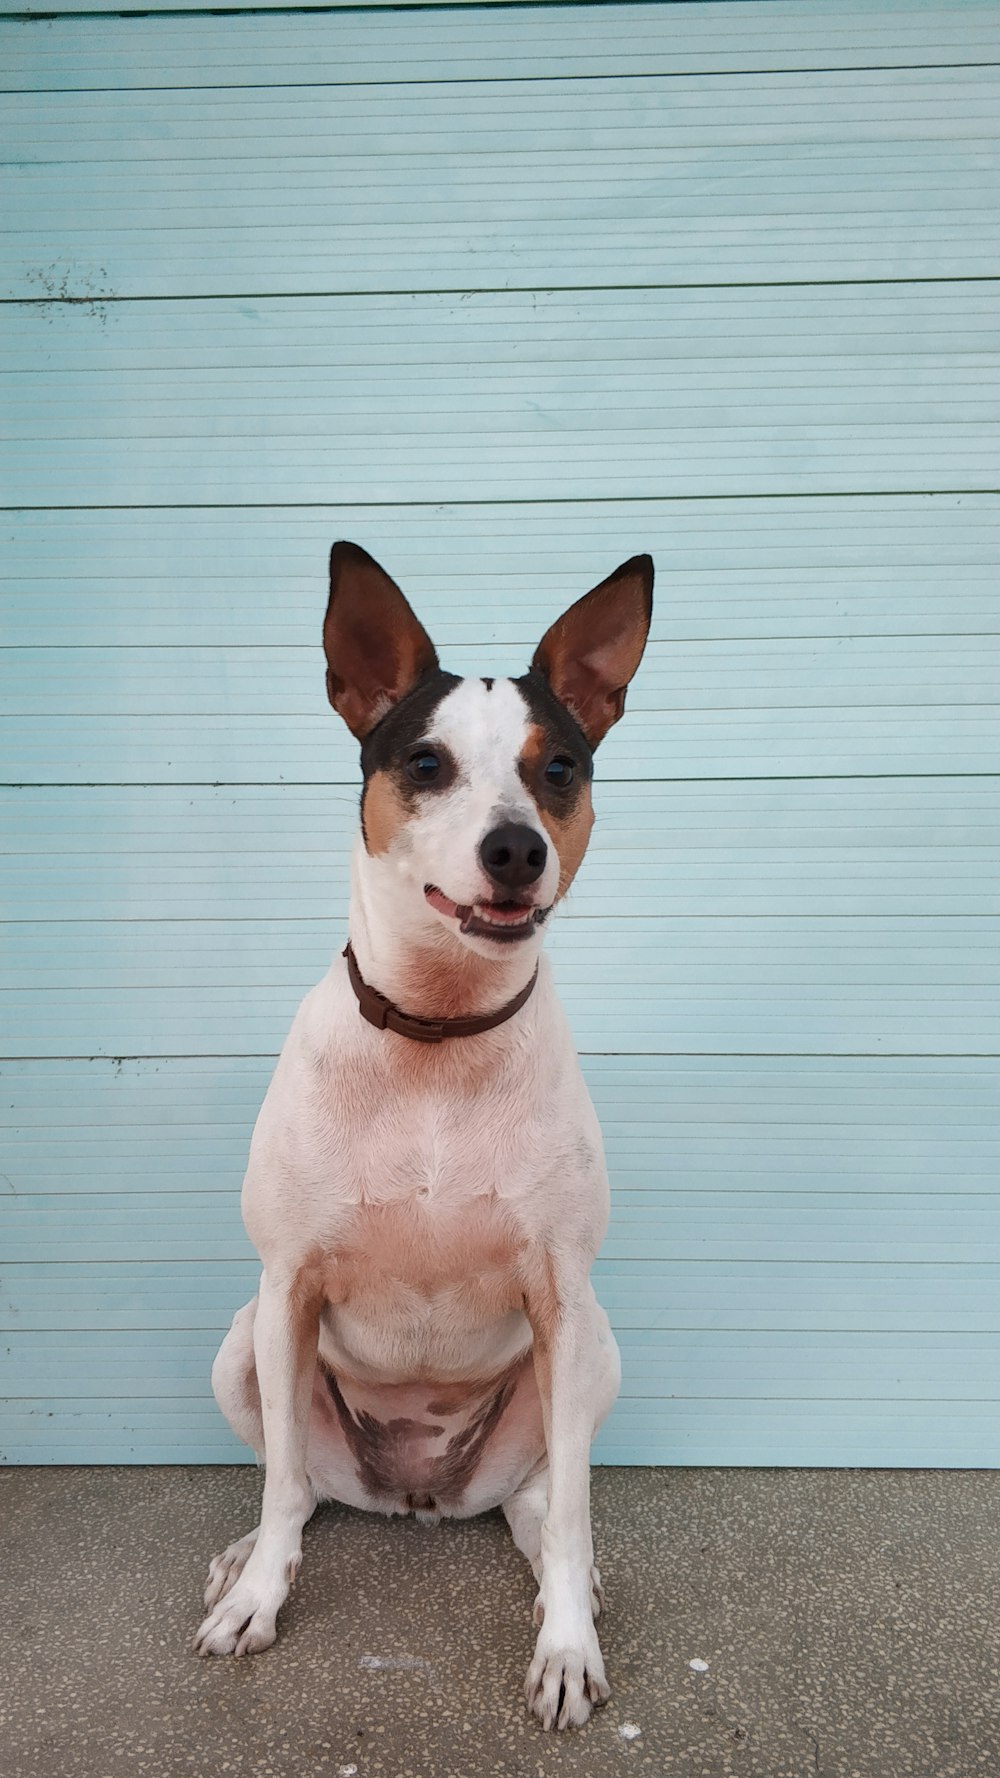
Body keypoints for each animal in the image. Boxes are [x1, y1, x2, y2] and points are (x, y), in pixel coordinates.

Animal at [194, 536, 654, 1721]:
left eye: (559, 769)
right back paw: (248, 1557)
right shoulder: (287, 1283)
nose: (516, 850)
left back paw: (571, 1577)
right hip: (242, 1345)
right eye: (427, 762)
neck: (439, 1037)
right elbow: (279, 1489)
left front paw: (568, 1645)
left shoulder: (560, 1291)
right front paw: (257, 1600)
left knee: (545, 1501)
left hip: (590, 1354)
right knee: (297, 1488)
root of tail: (419, 1491)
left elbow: (574, 1506)